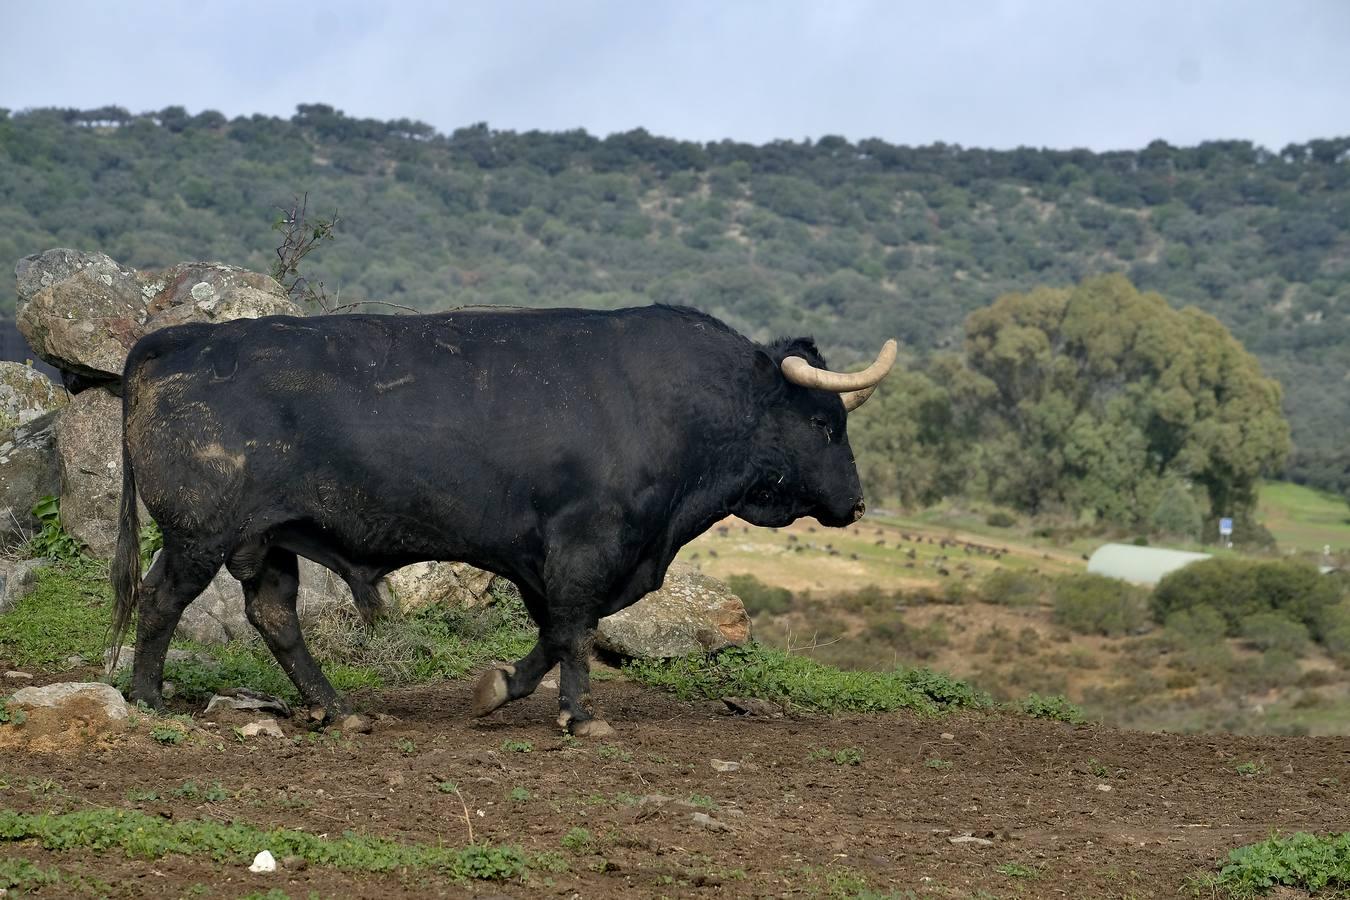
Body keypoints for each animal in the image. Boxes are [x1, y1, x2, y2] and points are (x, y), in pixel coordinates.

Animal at [110, 306, 891, 734]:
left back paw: (338, 709)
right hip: (199, 534)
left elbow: (556, 632)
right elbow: (574, 629)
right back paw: (148, 697)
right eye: (822, 423)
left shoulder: (546, 559)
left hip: (268, 539)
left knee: (274, 618)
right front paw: (580, 715)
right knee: (160, 599)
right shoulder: (585, 544)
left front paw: (500, 689)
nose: (854, 504)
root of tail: (175, 340)